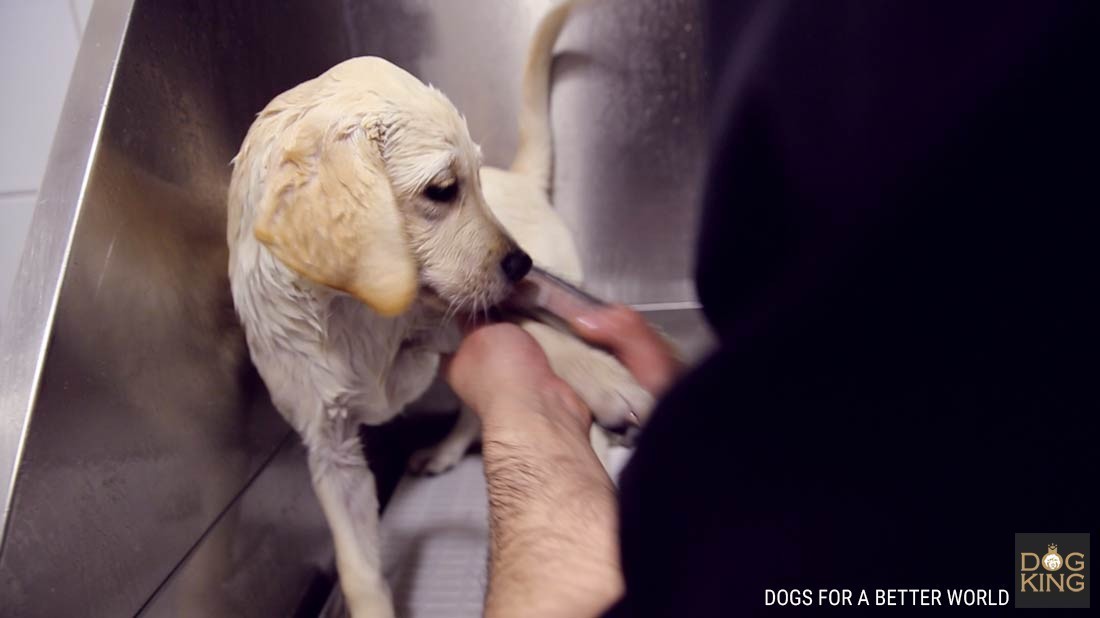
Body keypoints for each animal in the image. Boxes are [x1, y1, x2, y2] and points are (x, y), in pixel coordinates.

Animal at [226, 2, 646, 611]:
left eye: (471, 182)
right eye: (443, 190)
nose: (521, 265)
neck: (352, 311)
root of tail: (522, 179)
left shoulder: (457, 316)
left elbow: (540, 334)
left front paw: (608, 379)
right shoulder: (330, 449)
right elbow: (358, 568)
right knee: (473, 409)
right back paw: (446, 451)